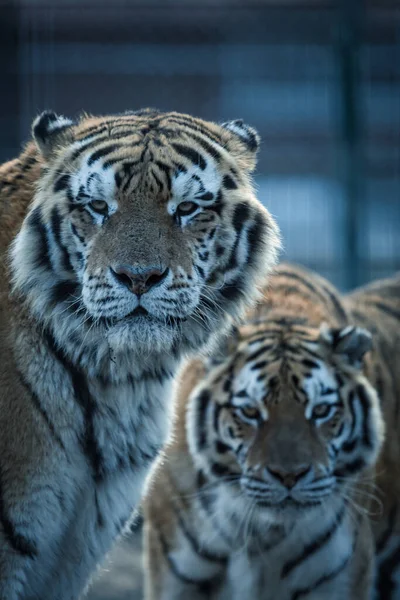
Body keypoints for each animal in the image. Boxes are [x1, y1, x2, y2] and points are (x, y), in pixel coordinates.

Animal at [145, 264, 400, 600]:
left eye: (321, 410)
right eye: (251, 412)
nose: (289, 476)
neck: (259, 532)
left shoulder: (340, 578)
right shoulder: (175, 578)